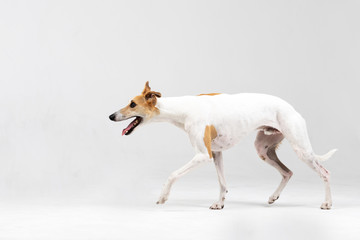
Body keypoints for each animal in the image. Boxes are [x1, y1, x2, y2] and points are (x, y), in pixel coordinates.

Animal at [108, 81, 336, 209]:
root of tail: (292, 108)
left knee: (325, 172)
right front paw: (219, 203)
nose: (110, 116)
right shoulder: (216, 153)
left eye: (132, 104)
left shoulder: (203, 155)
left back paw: (327, 203)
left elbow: (172, 174)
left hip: (301, 149)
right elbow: (223, 183)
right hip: (263, 149)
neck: (183, 109)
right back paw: (273, 197)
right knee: (287, 172)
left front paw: (163, 196)